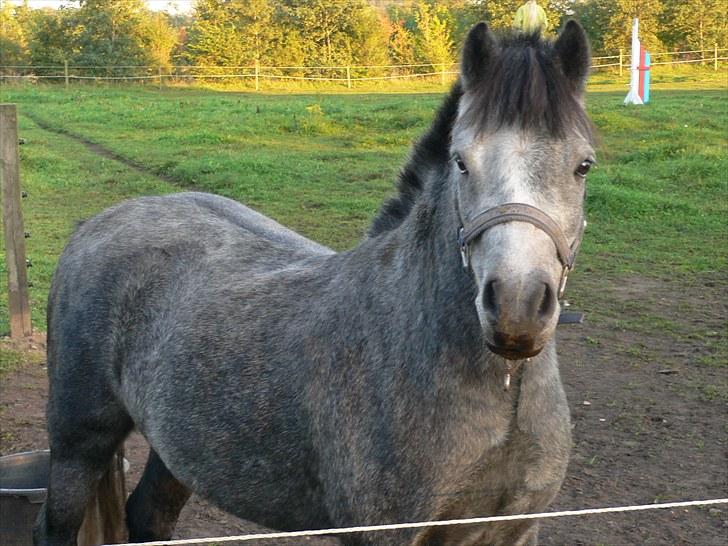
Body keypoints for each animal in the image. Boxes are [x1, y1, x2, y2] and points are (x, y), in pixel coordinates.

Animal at [34, 20, 596, 544]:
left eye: (584, 165)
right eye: (462, 161)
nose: (517, 306)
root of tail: (98, 222)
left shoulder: (514, 529)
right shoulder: (382, 532)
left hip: (178, 449)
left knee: (149, 515)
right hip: (78, 442)